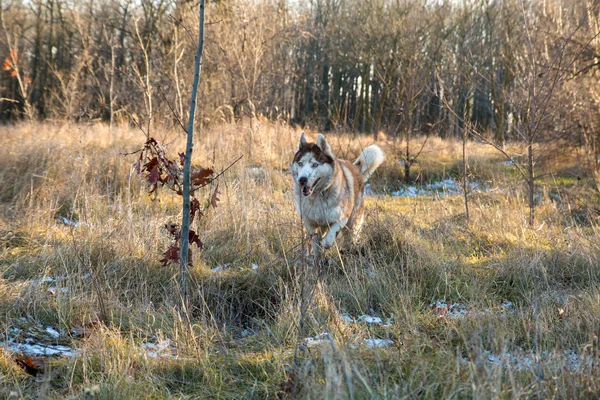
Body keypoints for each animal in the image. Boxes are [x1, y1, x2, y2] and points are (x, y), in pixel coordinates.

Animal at [290, 131, 384, 262]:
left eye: (315, 164)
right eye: (300, 163)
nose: (302, 179)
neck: (318, 194)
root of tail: (355, 169)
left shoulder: (342, 218)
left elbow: (328, 239)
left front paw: (326, 243)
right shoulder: (309, 222)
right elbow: (315, 240)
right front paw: (317, 258)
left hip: (353, 223)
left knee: (350, 238)